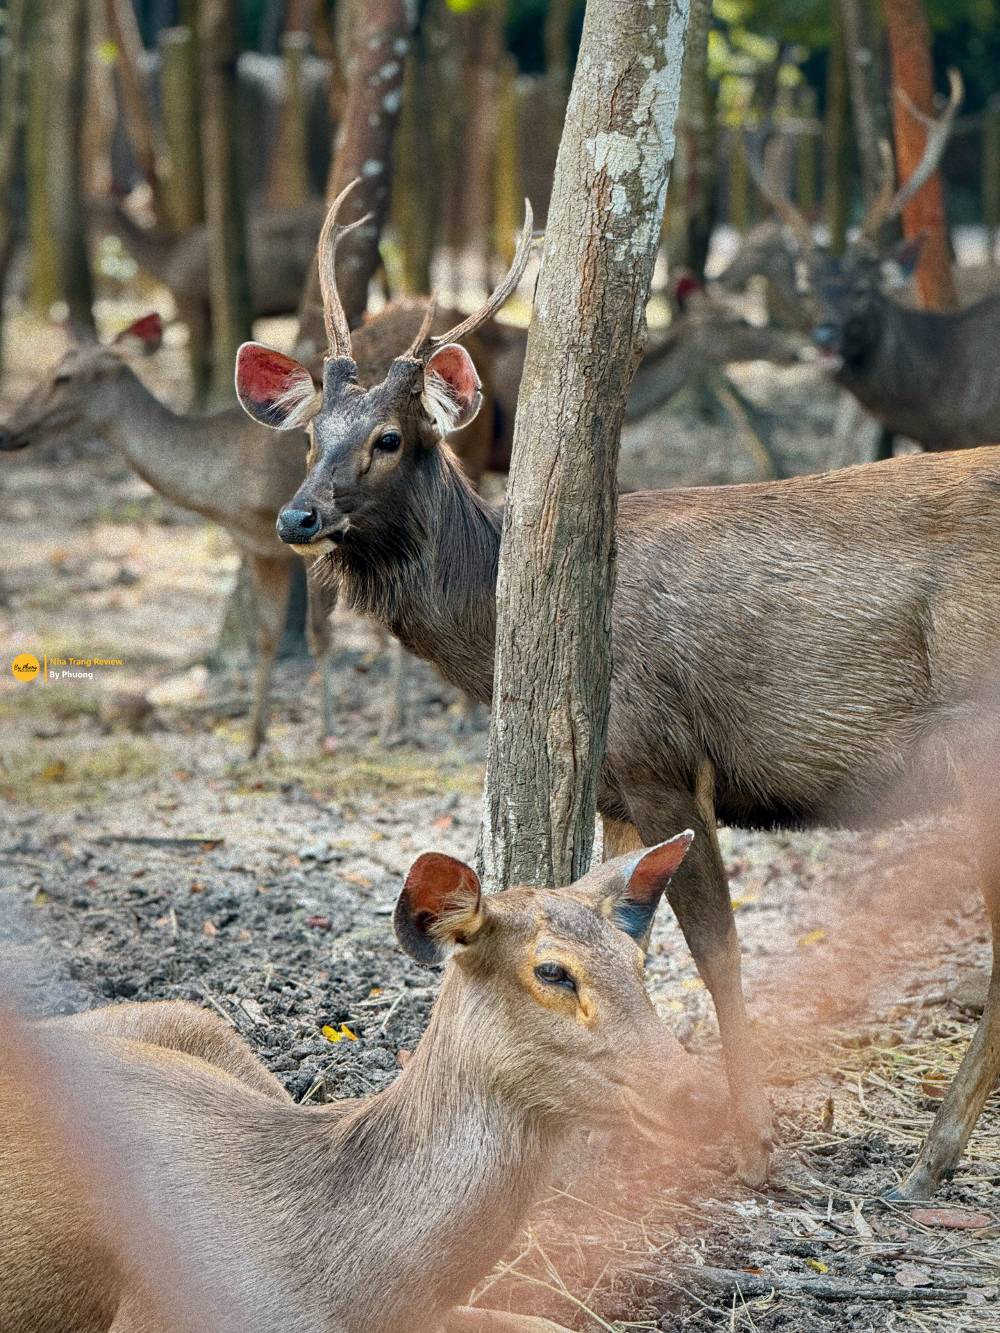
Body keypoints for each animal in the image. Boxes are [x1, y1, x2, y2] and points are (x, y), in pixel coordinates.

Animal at [237, 185, 1000, 1199]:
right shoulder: (613, 786)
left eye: (390, 438)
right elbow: (618, 929)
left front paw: (752, 1141)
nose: (299, 516)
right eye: (311, 436)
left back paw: (928, 1157)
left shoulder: (662, 756)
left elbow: (716, 948)